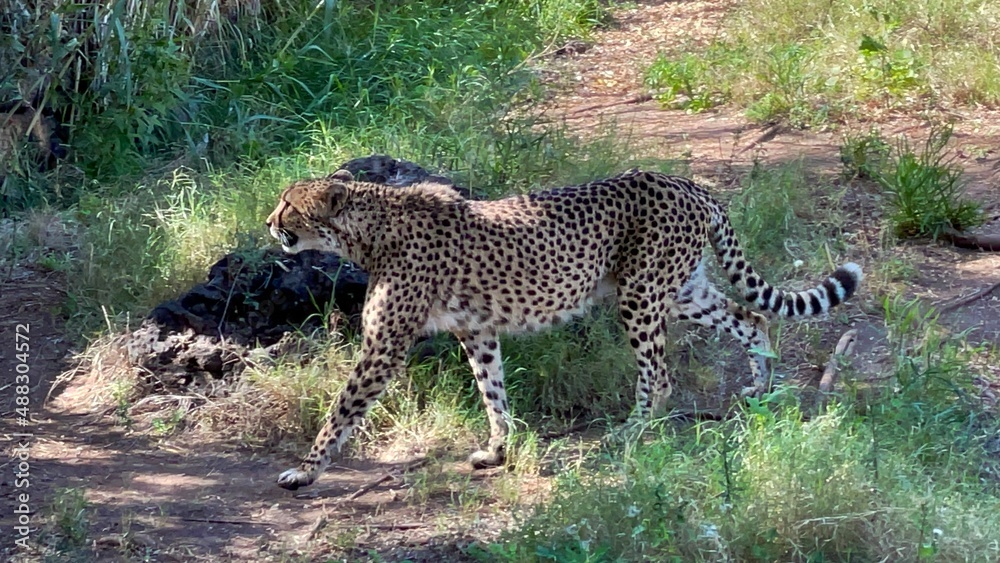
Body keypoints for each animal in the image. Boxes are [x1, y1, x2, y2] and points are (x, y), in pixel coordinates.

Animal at [265, 168, 862, 490]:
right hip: (682, 289)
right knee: (751, 317)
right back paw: (762, 390)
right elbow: (493, 393)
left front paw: (306, 471)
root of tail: (688, 183)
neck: (370, 227)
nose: (270, 223)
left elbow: (341, 409)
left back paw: (632, 433)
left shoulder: (384, 346)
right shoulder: (476, 330)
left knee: (660, 374)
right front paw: (499, 451)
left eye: (288, 203)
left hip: (641, 295)